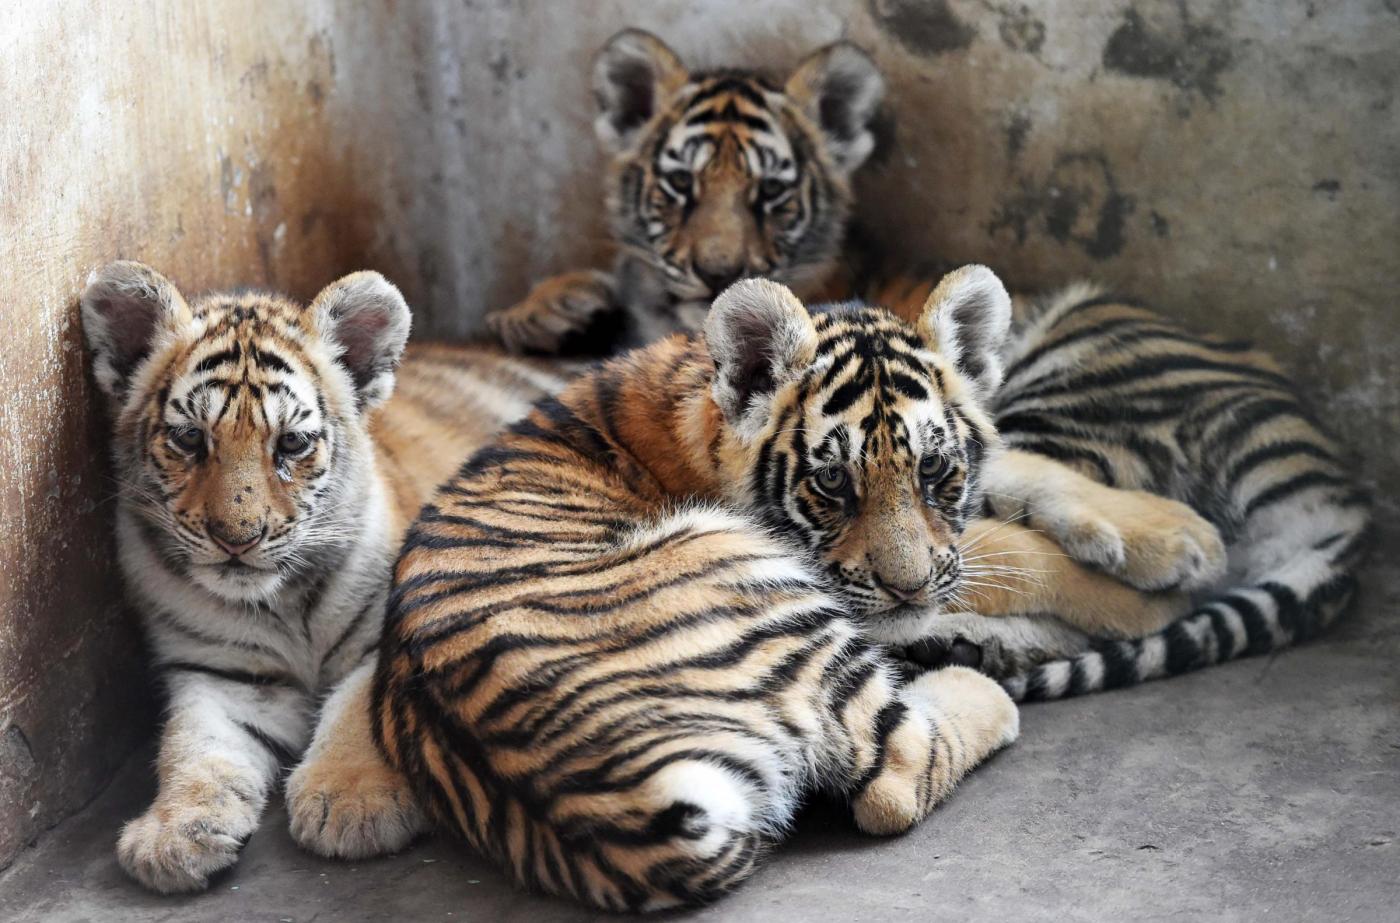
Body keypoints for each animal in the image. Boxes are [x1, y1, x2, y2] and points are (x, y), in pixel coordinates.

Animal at [79, 261, 574, 892]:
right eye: (190, 438)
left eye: (291, 443)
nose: (237, 539)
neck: (281, 603)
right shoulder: (223, 675)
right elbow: (193, 746)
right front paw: (173, 833)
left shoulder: (394, 638)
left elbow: (356, 712)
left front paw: (351, 804)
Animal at [362, 267, 1236, 910]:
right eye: (831, 482)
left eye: (934, 467)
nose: (909, 591)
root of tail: (615, 813)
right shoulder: (845, 579)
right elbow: (1006, 551)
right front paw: (1155, 597)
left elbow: (1023, 470)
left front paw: (1176, 535)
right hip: (751, 578)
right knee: (896, 772)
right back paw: (975, 681)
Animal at [483, 28, 1370, 697]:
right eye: (680, 186)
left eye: (773, 195)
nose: (715, 273)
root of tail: (1331, 487)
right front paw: (549, 308)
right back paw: (972, 645)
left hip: (1068, 381)